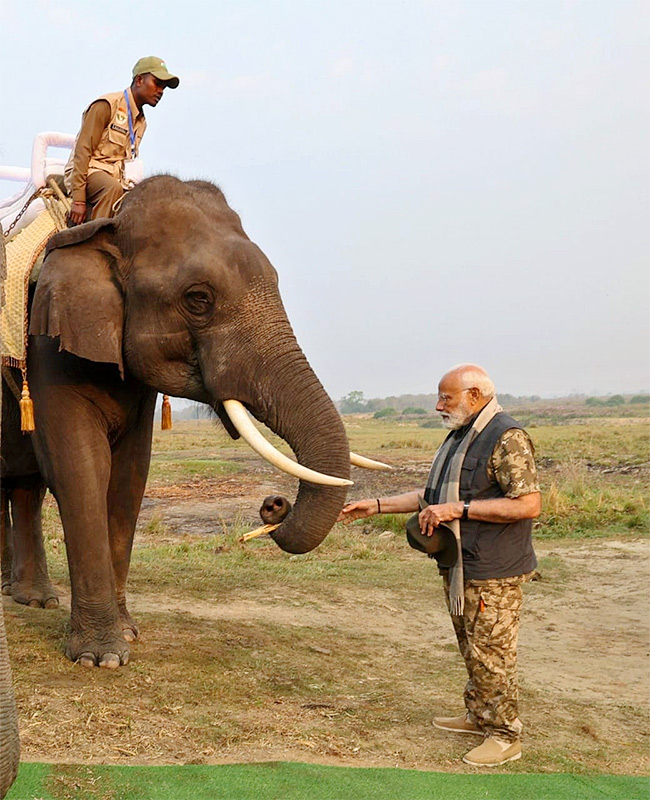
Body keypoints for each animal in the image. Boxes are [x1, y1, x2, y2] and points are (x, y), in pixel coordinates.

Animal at [0, 178, 364, 672]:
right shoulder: (48, 342)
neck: (108, 222)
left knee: (24, 485)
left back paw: (33, 599)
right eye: (198, 299)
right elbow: (79, 469)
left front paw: (127, 634)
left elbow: (130, 474)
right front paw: (101, 658)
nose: (274, 505)